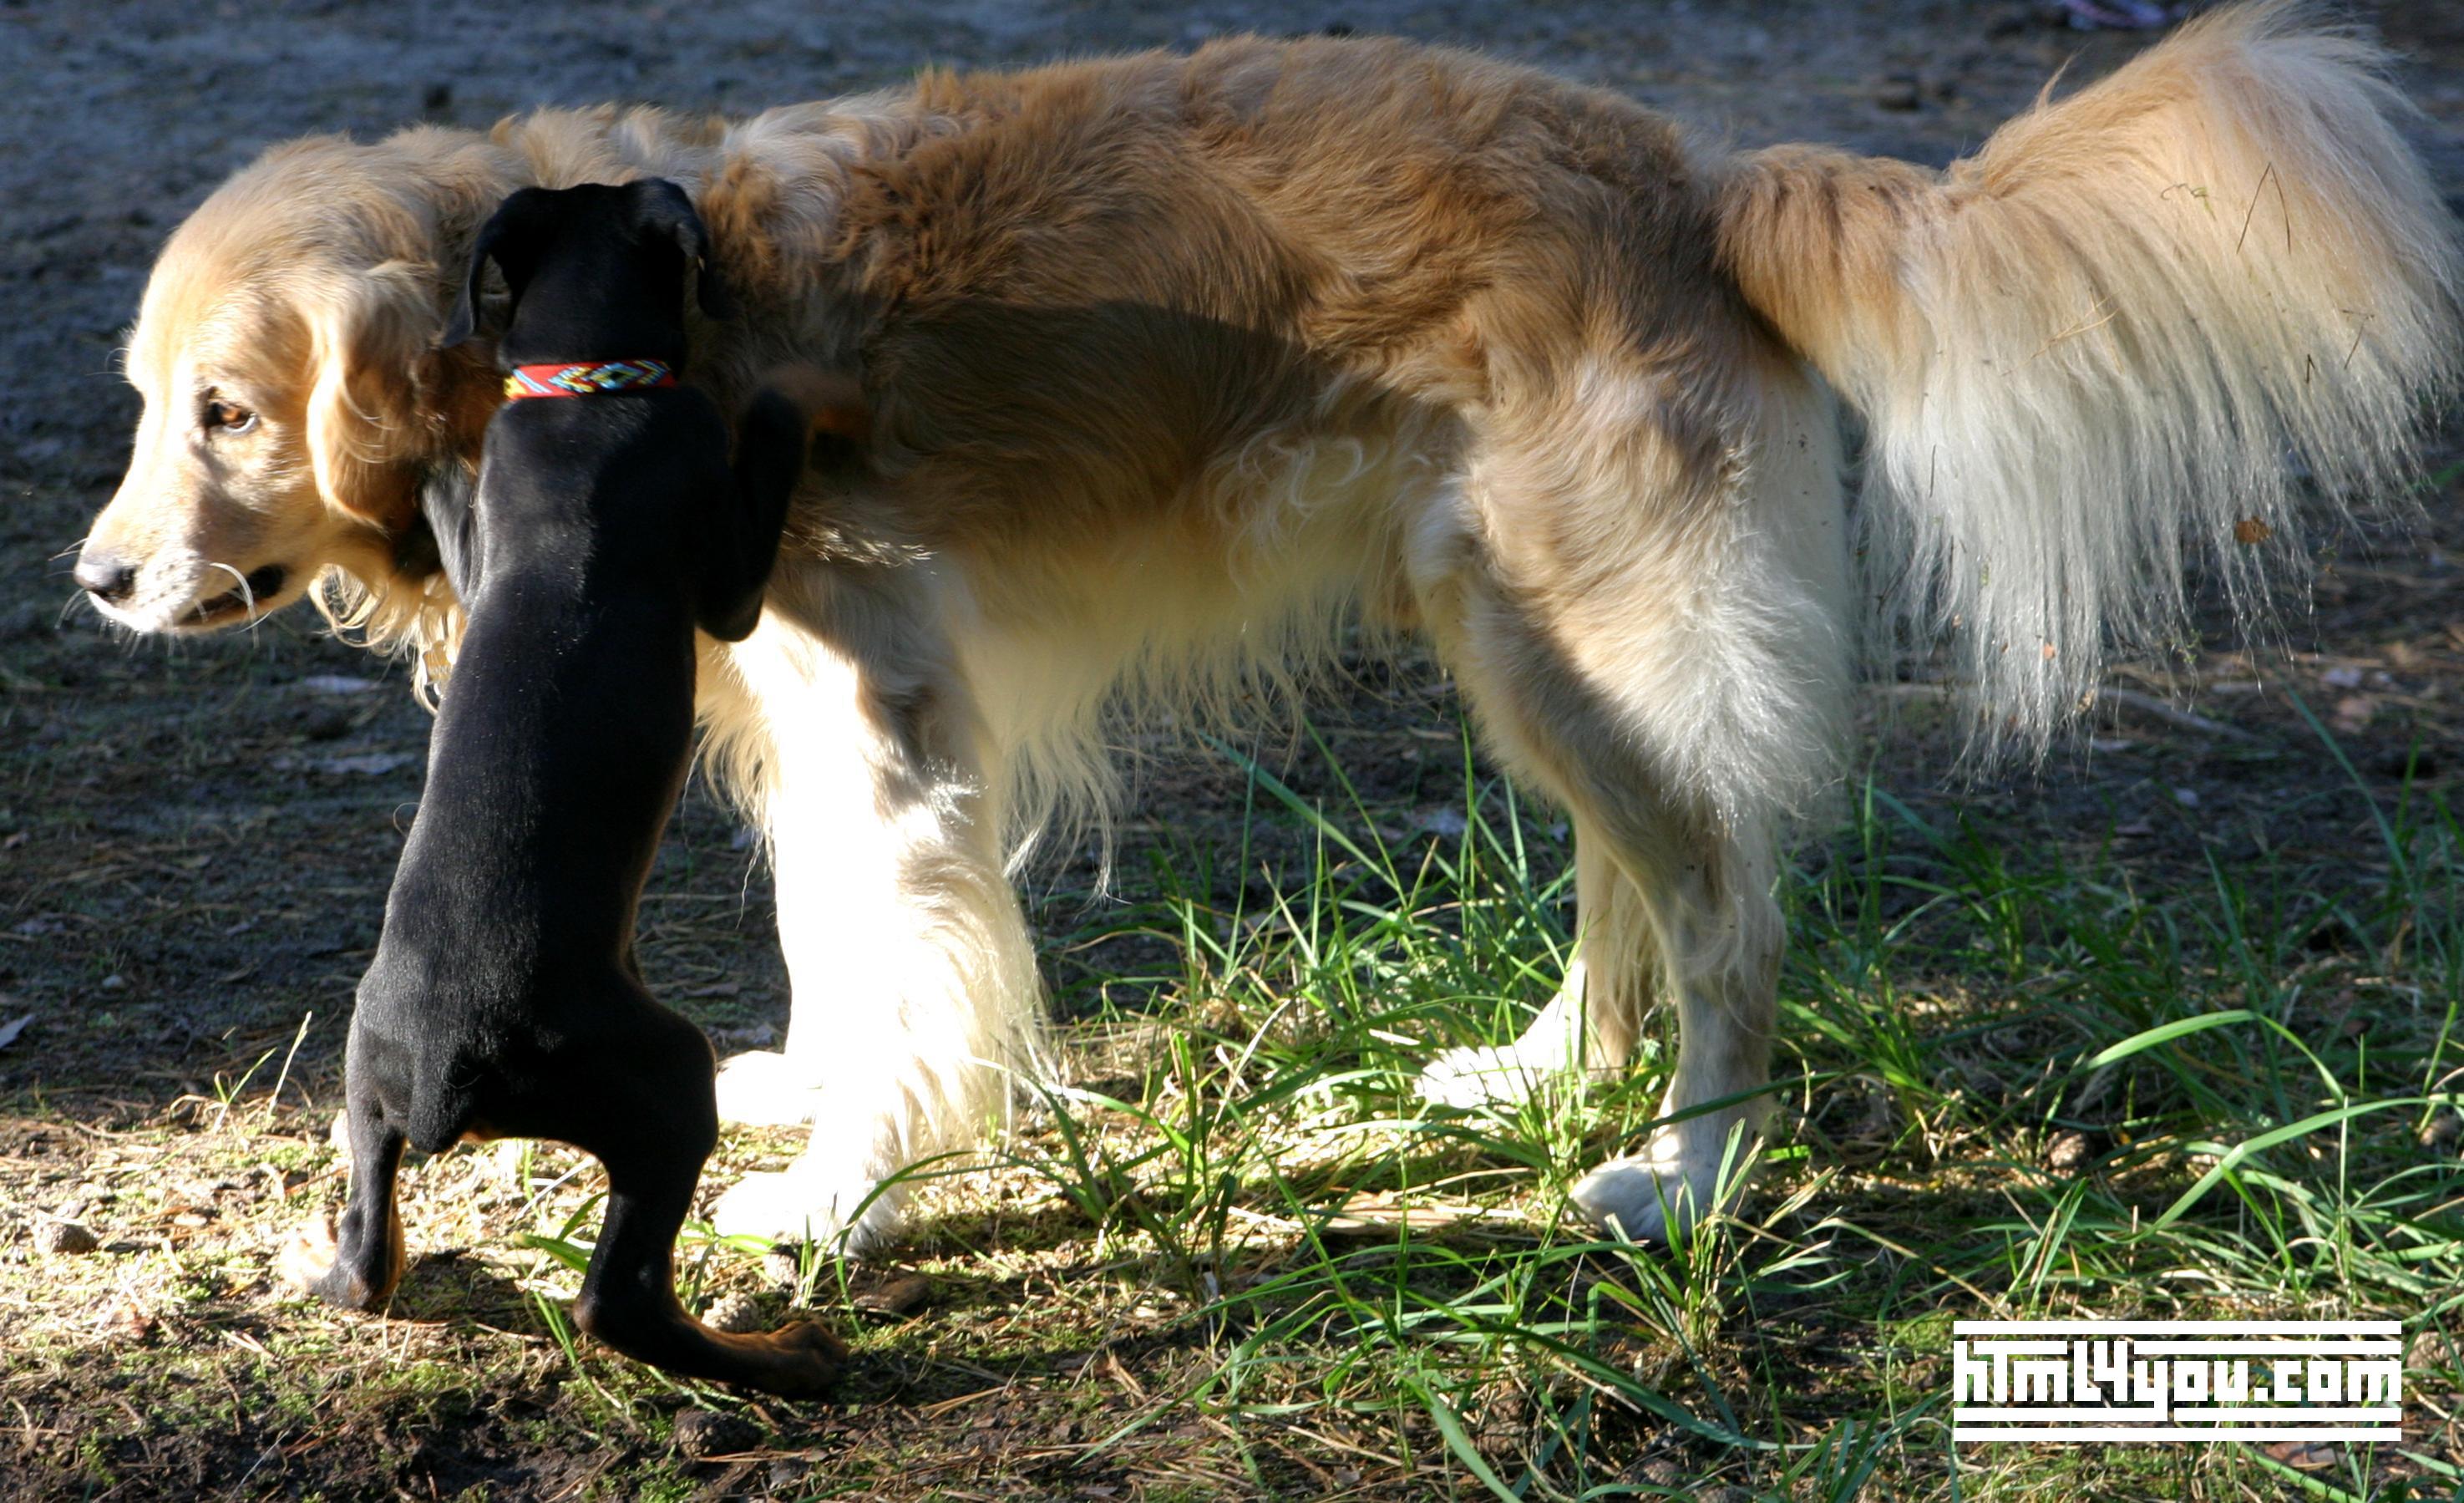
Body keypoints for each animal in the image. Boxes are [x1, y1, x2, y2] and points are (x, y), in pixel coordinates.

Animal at [80, 6, 2464, 1249]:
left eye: (224, 412)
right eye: (137, 402)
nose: (93, 579)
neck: (652, 309)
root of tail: (1696, 179)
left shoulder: (888, 725)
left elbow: (902, 962)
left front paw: (838, 1196)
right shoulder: (825, 734)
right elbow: (837, 953)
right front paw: (811, 1099)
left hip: (1592, 654)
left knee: (1727, 915)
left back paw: (1680, 1173)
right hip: (1525, 648)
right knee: (1631, 879)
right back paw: (1542, 1073)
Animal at [281, 178, 840, 1395]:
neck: (586, 385)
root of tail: (446, 1072)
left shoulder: (486, 527)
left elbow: (455, 514)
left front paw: (427, 466)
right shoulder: (725, 574)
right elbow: (762, 454)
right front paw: (790, 392)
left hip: (358, 1080)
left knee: (366, 1260)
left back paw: (332, 1261)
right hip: (666, 1077)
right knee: (617, 1296)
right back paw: (782, 1352)